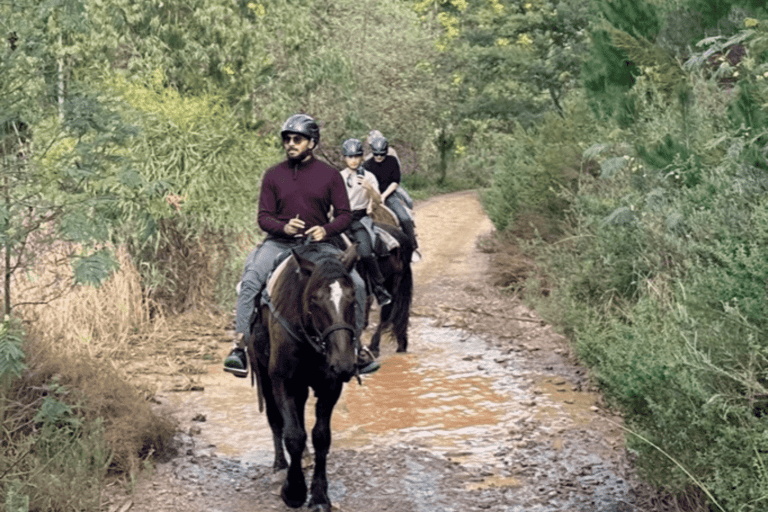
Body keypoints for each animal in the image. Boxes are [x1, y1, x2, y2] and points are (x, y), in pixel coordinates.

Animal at [246, 242, 360, 510]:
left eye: (352, 297)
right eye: (315, 300)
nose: (343, 364)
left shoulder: (330, 385)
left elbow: (321, 437)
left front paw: (319, 496)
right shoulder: (282, 381)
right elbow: (293, 435)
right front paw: (295, 491)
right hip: (266, 376)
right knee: (276, 420)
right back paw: (280, 467)